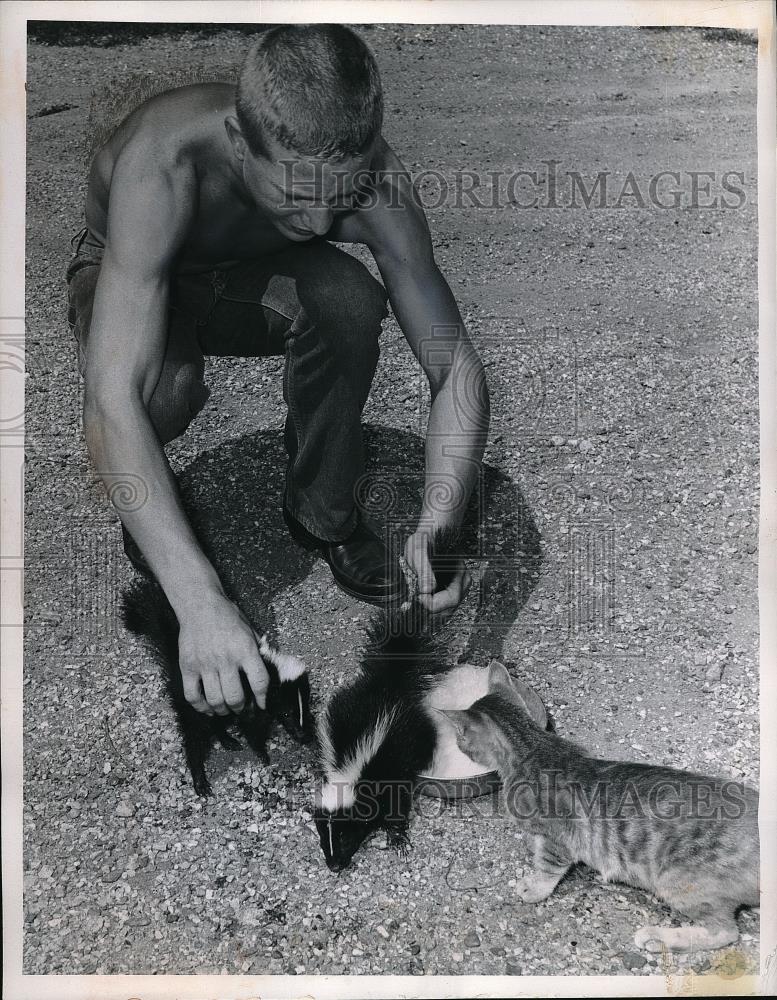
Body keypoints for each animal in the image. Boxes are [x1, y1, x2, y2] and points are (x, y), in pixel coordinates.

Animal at [121, 580, 312, 796]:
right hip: (194, 703)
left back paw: (228, 741)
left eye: (306, 707)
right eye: (287, 713)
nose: (303, 735)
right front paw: (263, 754)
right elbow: (252, 728)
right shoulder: (254, 699)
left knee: (216, 723)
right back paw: (200, 780)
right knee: (195, 738)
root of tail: (177, 660)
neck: (271, 671)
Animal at [314, 528, 460, 872]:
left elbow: (395, 804)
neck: (349, 770)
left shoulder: (385, 771)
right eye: (324, 838)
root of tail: (388, 682)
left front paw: (397, 839)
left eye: (346, 835)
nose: (334, 865)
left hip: (411, 733)